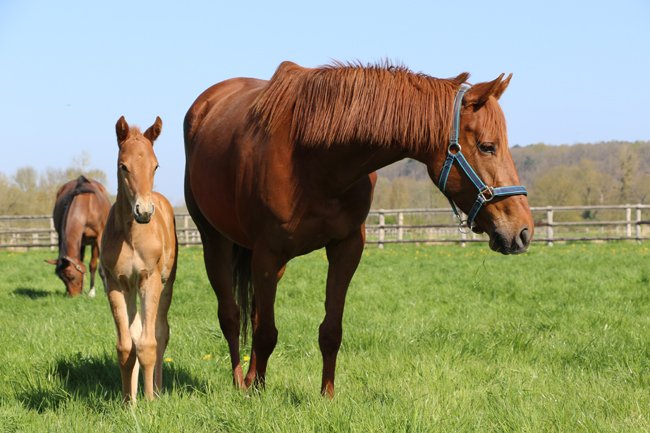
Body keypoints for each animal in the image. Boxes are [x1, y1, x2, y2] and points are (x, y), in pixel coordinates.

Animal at [100, 116, 178, 402]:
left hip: (166, 284)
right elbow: (126, 346)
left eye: (155, 165)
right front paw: (128, 402)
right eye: (123, 166)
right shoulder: (115, 283)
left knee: (160, 332)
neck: (131, 236)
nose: (143, 212)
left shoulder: (149, 279)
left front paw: (149, 401)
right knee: (134, 332)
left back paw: (158, 389)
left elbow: (148, 343)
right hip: (130, 288)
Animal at [183, 61, 534, 398]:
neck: (313, 159)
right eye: (488, 146)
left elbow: (329, 330)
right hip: (215, 241)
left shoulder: (345, 248)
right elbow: (266, 332)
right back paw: (241, 382)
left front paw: (326, 396)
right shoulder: (268, 253)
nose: (523, 231)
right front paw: (257, 393)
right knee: (231, 316)